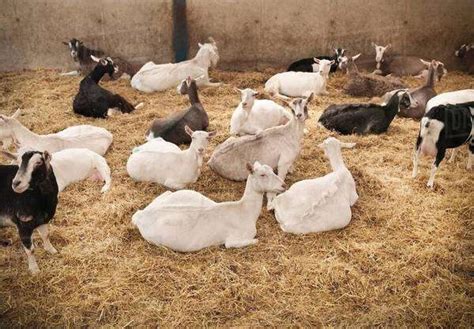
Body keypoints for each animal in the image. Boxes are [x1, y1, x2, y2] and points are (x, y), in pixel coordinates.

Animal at [131, 161, 286, 251]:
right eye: (262, 175)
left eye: (272, 171)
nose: (283, 185)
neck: (245, 211)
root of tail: (141, 216)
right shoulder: (233, 240)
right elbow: (254, 240)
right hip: (155, 239)